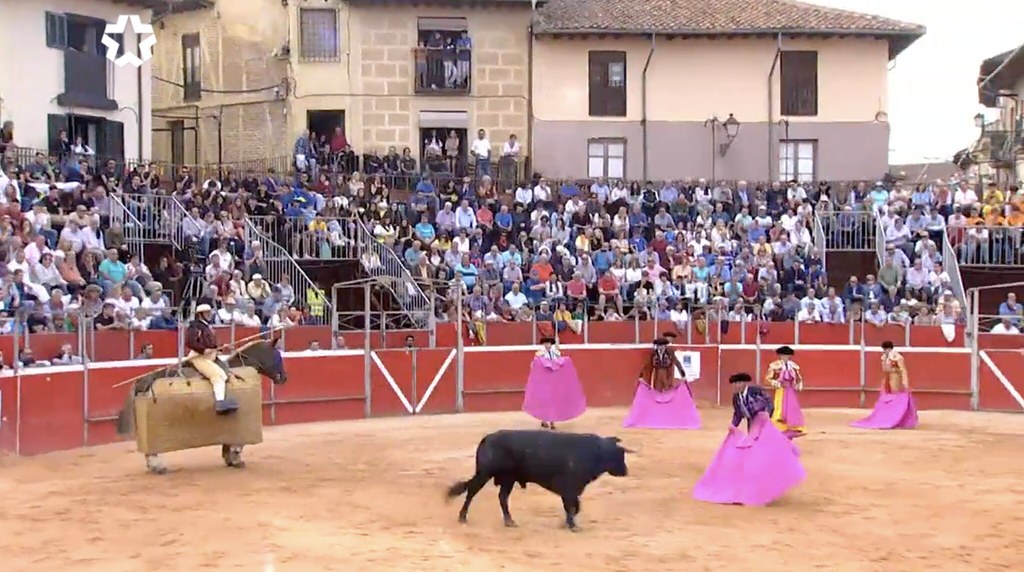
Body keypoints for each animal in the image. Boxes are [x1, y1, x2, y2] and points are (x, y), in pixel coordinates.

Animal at [448, 429, 630, 532]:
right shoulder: (569, 488)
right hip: (485, 473)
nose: (626, 471)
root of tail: (487, 438)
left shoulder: (572, 491)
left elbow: (573, 507)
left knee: (502, 497)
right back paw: (463, 517)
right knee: (472, 491)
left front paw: (568, 524)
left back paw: (510, 521)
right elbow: (572, 506)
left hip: (508, 478)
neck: (593, 452)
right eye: (619, 455)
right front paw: (572, 526)